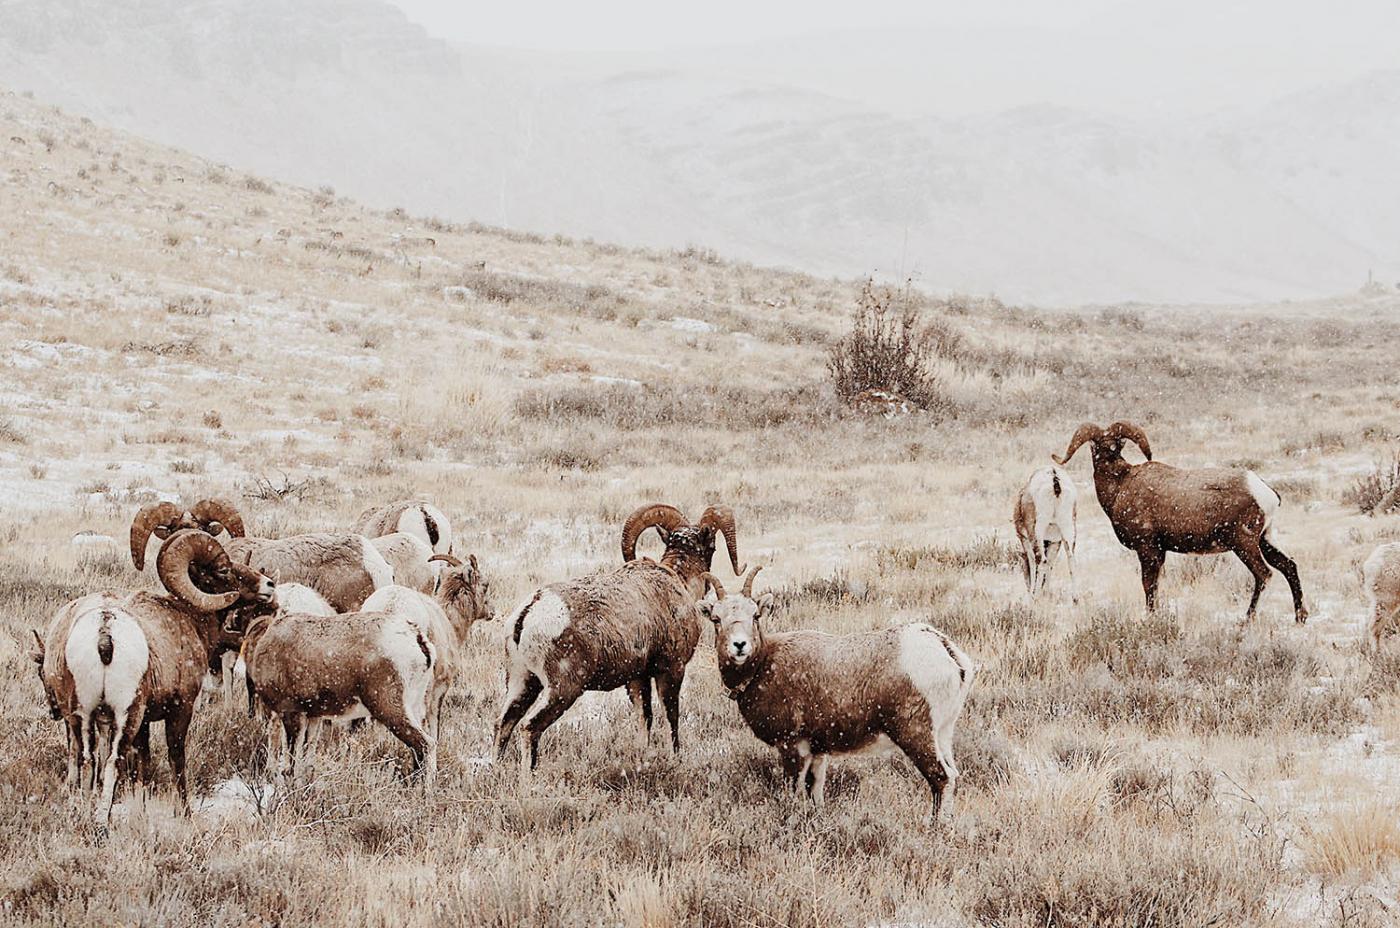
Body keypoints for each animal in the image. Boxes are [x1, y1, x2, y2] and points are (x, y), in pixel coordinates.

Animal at [32, 531, 276, 823]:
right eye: (224, 570)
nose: (269, 585)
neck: (187, 619)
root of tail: (104, 633)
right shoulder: (179, 710)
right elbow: (176, 759)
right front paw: (184, 813)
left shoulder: (145, 723)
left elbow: (143, 766)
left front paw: (141, 812)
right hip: (126, 715)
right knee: (113, 761)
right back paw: (103, 822)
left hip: (82, 715)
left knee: (87, 759)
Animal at [494, 502, 743, 777]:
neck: (679, 583)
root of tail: (528, 613)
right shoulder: (671, 671)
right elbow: (671, 718)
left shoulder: (637, 679)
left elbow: (644, 719)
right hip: (562, 690)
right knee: (529, 727)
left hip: (522, 682)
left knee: (503, 723)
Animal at [701, 567, 975, 821]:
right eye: (716, 618)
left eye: (755, 615)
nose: (739, 646)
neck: (763, 666)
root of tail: (945, 650)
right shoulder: (817, 753)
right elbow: (815, 791)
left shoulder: (792, 747)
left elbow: (793, 792)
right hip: (942, 734)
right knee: (952, 774)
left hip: (915, 735)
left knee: (941, 777)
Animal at [1013, 464, 1079, 601]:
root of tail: (1055, 480)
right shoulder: (1055, 541)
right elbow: (1050, 564)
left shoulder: (1024, 539)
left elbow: (1033, 562)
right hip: (1069, 530)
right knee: (1071, 560)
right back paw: (1075, 599)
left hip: (1037, 531)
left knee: (1040, 560)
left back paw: (1035, 597)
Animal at [1054, 421, 1307, 623]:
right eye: (1098, 445)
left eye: (1116, 444)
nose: (1109, 451)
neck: (1120, 484)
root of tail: (1263, 491)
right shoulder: (1159, 552)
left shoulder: (1147, 549)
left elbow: (1148, 585)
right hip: (1265, 539)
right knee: (1289, 566)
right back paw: (1300, 617)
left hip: (1244, 544)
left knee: (1264, 574)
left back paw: (1247, 620)